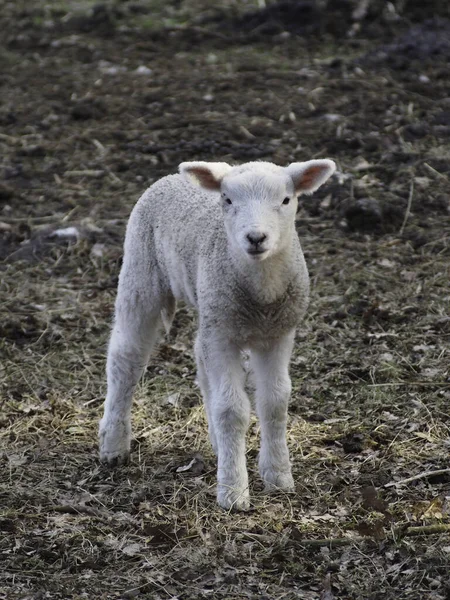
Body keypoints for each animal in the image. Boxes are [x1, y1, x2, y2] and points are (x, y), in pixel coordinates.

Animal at [100, 157, 336, 508]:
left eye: (286, 200)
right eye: (227, 200)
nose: (256, 237)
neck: (260, 298)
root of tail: (170, 178)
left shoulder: (278, 334)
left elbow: (275, 401)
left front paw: (278, 476)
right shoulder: (223, 335)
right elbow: (232, 410)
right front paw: (233, 491)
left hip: (209, 309)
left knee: (200, 359)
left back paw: (217, 442)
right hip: (141, 273)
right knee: (125, 358)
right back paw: (113, 444)